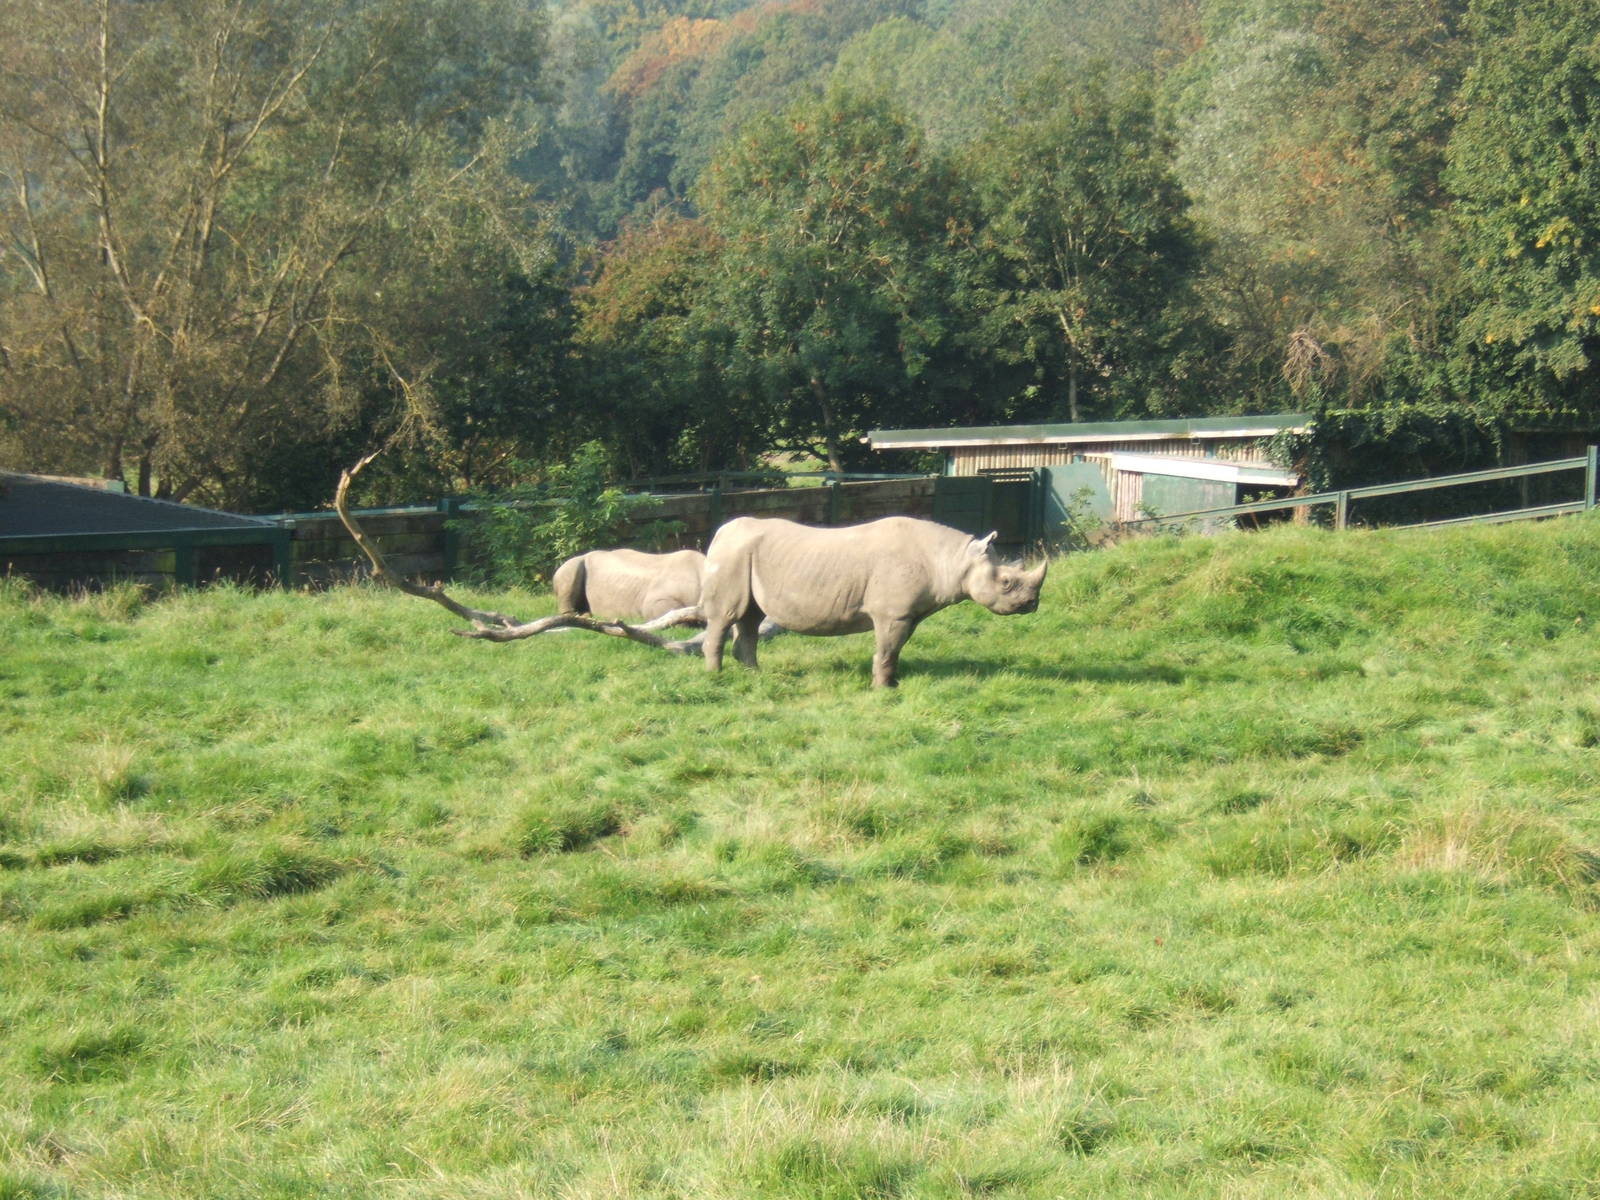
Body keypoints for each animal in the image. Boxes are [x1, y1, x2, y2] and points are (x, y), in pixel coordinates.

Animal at [699, 516, 1047, 687]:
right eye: (1006, 582)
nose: (1032, 605)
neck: (952, 559)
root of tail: (720, 532)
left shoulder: (909, 613)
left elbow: (895, 650)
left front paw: (894, 682)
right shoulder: (892, 613)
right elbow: (887, 649)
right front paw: (883, 689)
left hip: (746, 555)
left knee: (750, 617)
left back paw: (754, 675)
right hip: (731, 555)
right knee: (725, 615)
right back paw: (716, 677)